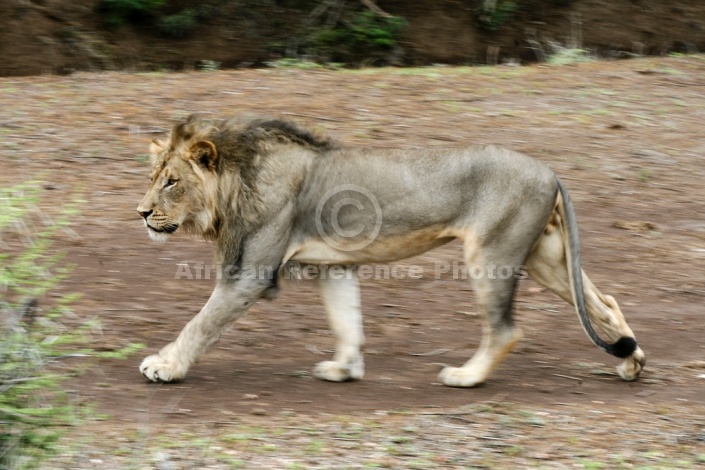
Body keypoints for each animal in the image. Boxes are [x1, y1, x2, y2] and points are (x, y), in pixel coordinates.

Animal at [135, 115, 648, 388]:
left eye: (172, 182)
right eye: (155, 177)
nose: (141, 213)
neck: (237, 178)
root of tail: (549, 169)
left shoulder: (251, 272)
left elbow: (200, 323)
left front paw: (165, 365)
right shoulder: (333, 266)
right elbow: (347, 320)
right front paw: (345, 368)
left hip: (492, 253)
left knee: (505, 330)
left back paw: (466, 377)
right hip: (544, 255)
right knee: (603, 302)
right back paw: (631, 359)